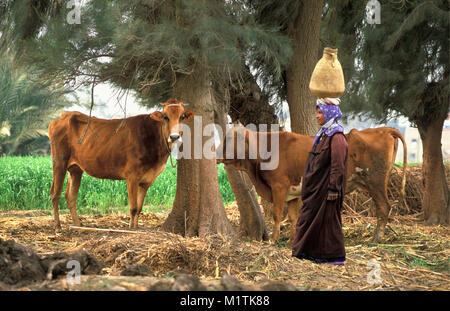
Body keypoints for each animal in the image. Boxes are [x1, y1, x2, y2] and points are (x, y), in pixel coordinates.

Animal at [48, 98, 193, 233]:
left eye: (182, 116)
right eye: (165, 117)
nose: (174, 137)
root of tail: (64, 115)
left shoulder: (147, 181)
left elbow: (139, 208)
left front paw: (136, 228)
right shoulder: (132, 176)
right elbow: (133, 208)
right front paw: (130, 230)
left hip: (75, 168)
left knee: (70, 196)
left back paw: (78, 226)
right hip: (59, 162)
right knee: (55, 194)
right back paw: (58, 228)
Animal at [218, 126, 408, 244]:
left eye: (230, 139)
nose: (216, 153)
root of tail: (381, 129)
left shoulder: (279, 186)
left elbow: (277, 214)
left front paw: (273, 240)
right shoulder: (291, 192)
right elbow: (293, 217)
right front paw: (291, 239)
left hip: (375, 182)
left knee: (384, 207)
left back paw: (376, 238)